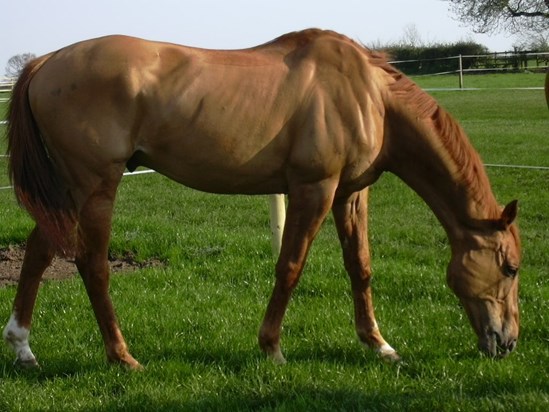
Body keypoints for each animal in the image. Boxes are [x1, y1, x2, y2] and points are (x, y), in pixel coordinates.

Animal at [3, 29, 520, 370]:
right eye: (511, 268)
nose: (509, 341)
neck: (370, 96)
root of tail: (46, 62)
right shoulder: (314, 189)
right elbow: (290, 266)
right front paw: (271, 348)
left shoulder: (351, 194)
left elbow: (361, 267)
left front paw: (378, 344)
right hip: (95, 185)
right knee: (92, 265)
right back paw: (122, 356)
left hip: (68, 189)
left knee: (39, 250)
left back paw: (23, 346)